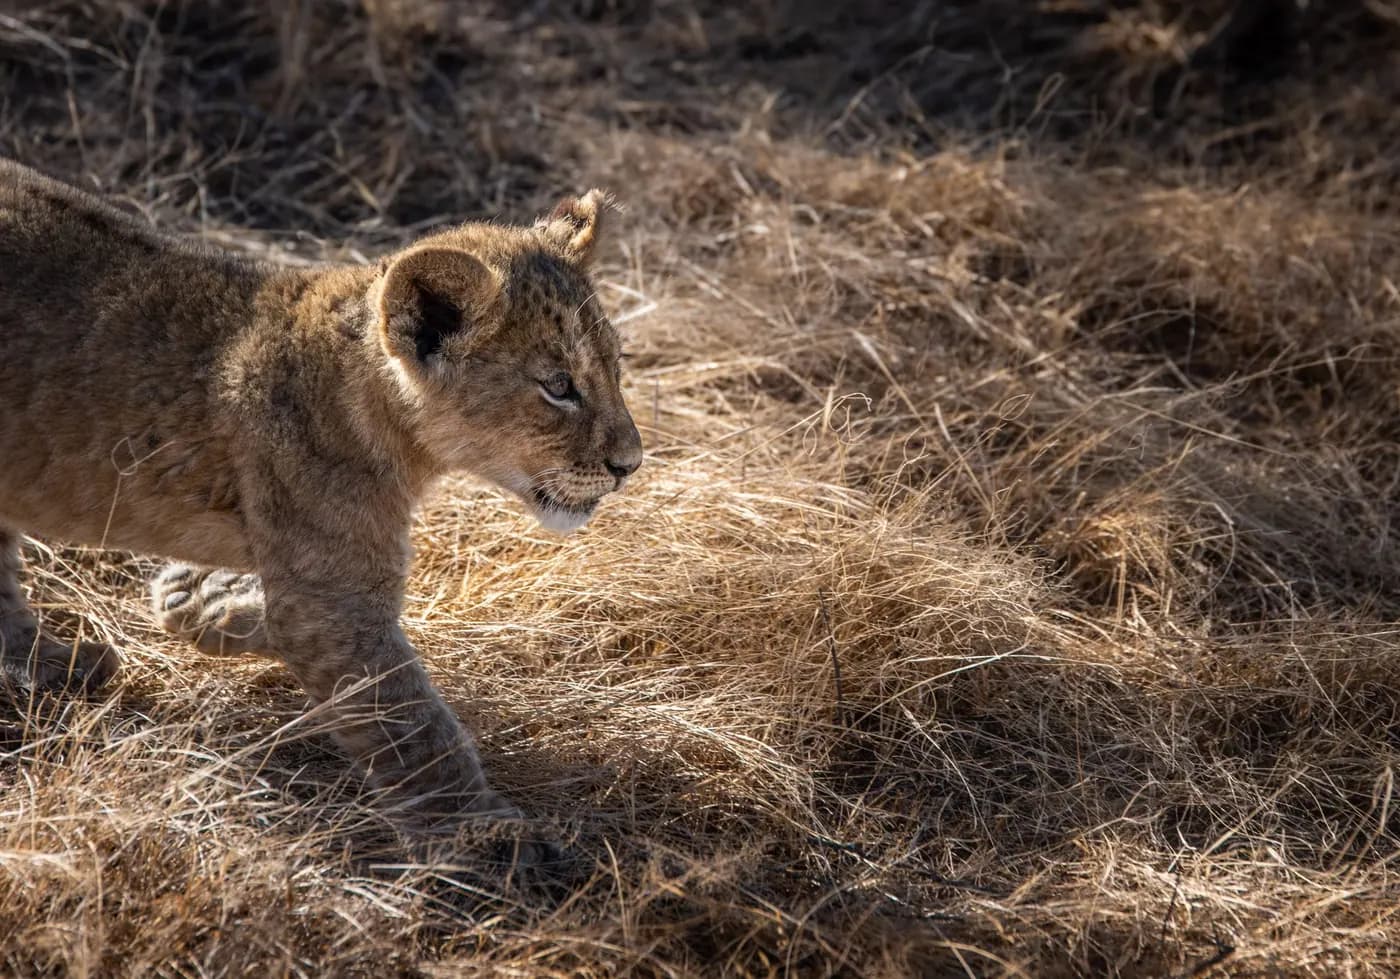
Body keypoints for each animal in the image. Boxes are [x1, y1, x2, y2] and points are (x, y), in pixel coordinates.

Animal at [0, 158, 641, 857]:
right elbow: (413, 724)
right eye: (559, 388)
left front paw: (202, 597)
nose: (631, 464)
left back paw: (54, 666)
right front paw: (484, 836)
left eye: (615, 370)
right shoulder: (334, 603)